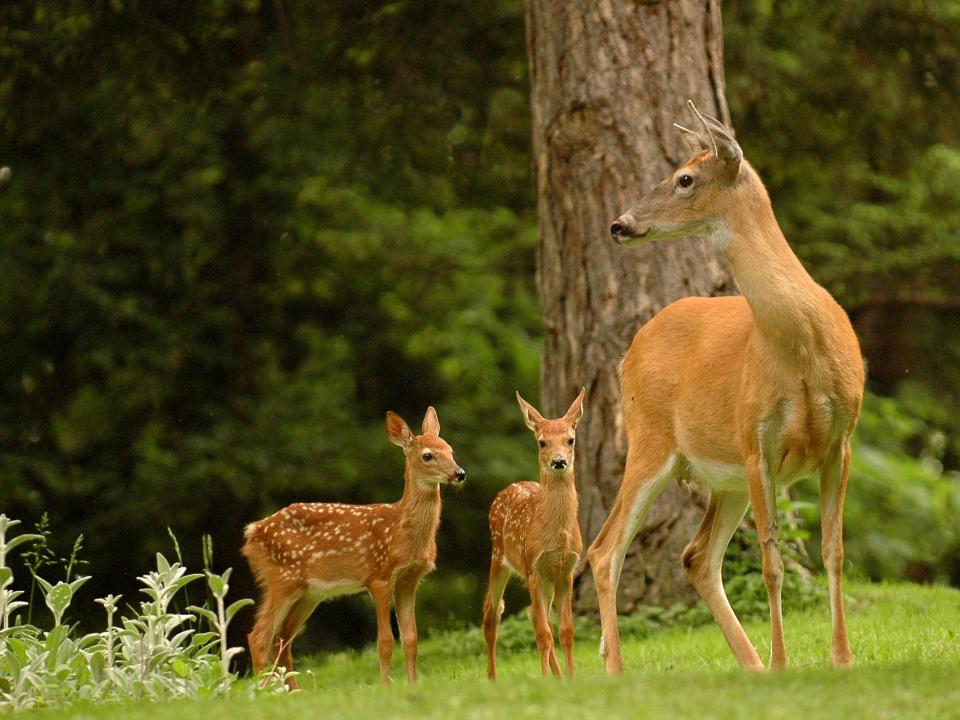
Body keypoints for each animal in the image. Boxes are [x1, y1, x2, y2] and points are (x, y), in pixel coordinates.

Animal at [242, 404, 464, 688]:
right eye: (428, 456)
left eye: (450, 450)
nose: (459, 473)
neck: (401, 531)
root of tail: (252, 532)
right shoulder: (379, 577)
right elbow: (385, 642)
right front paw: (385, 686)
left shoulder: (409, 580)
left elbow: (411, 639)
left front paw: (412, 684)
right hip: (282, 579)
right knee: (259, 637)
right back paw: (266, 691)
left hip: (308, 592)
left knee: (282, 638)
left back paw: (293, 692)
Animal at [484, 390, 580, 676]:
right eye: (542, 442)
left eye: (570, 440)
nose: (559, 461)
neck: (558, 532)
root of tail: (509, 486)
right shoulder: (533, 568)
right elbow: (543, 634)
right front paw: (545, 679)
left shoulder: (566, 570)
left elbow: (565, 631)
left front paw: (571, 678)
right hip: (499, 559)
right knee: (492, 614)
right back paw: (492, 677)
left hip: (546, 580)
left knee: (536, 615)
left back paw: (558, 676)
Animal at [588, 101, 868, 676]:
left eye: (684, 178)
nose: (619, 223)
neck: (801, 349)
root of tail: (629, 351)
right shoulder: (756, 440)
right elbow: (771, 561)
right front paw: (784, 663)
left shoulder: (841, 440)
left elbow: (833, 551)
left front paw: (842, 659)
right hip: (651, 442)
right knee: (605, 550)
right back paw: (617, 671)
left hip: (725, 478)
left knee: (695, 556)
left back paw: (751, 665)